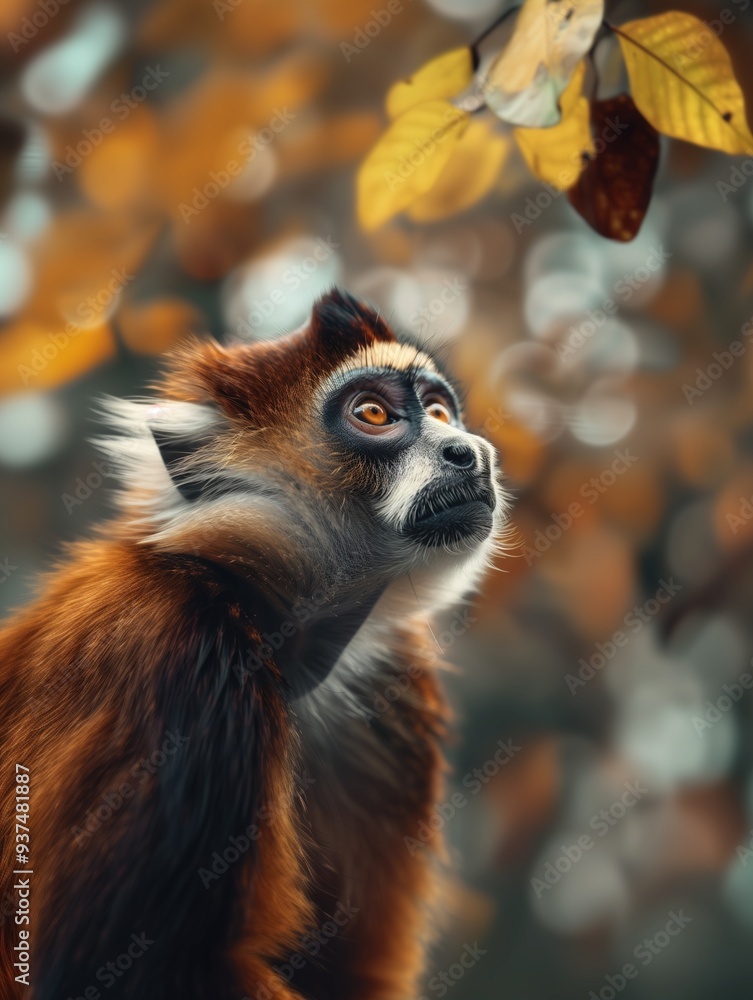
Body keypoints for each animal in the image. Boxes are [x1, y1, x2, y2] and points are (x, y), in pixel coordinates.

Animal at [0, 289, 509, 1000]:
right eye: (373, 414)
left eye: (438, 411)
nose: (470, 451)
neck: (273, 634)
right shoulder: (174, 650)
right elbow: (119, 968)